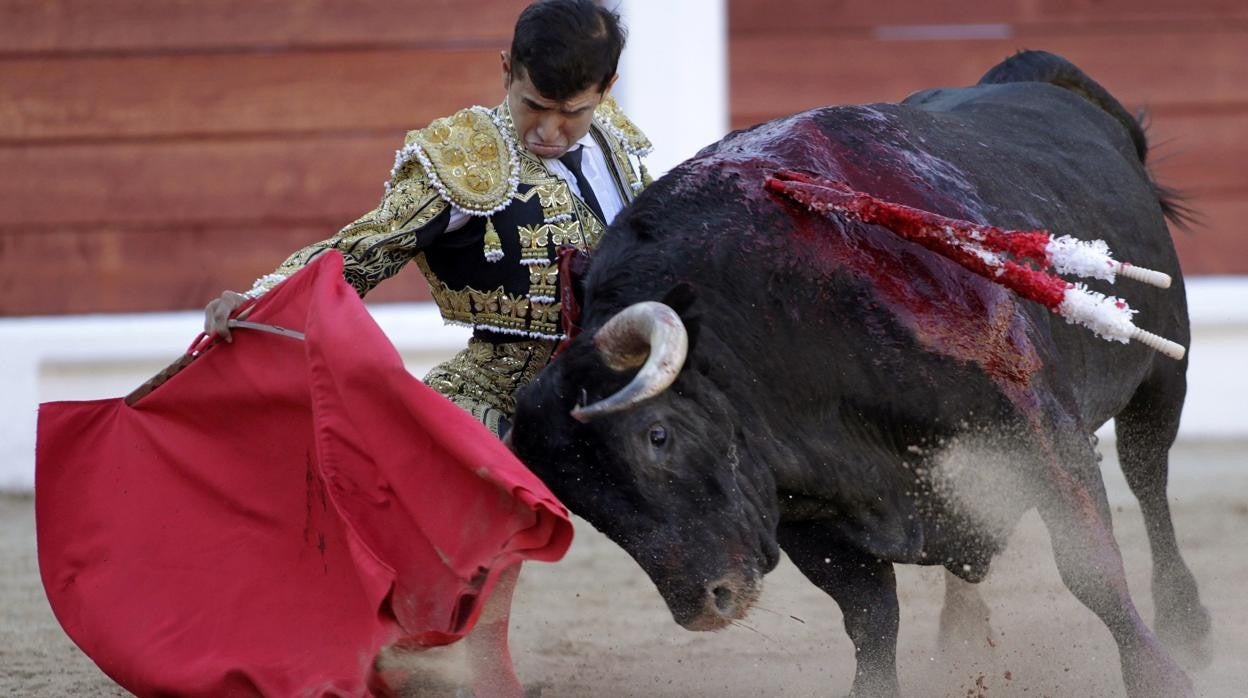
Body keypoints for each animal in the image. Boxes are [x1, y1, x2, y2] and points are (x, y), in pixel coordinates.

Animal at [504, 51, 1208, 694]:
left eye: (657, 436)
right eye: (581, 501)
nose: (707, 603)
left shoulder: (1041, 431)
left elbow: (1092, 572)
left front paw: (1160, 678)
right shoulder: (807, 511)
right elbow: (871, 619)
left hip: (1162, 373)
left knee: (1149, 476)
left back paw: (1187, 622)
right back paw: (961, 645)